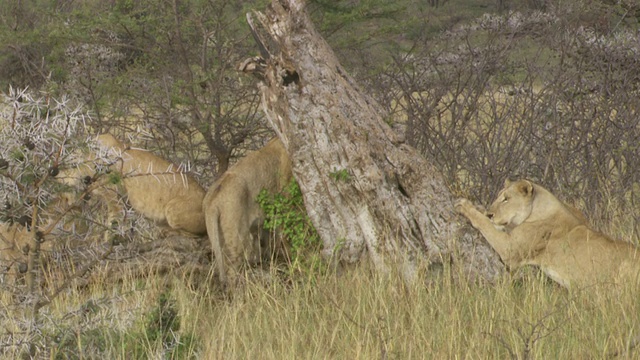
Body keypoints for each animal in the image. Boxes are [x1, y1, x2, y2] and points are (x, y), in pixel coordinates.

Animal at [205, 138, 292, 286]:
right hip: (237, 237)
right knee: (232, 270)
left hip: (218, 235)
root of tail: (214, 200)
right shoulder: (286, 199)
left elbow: (266, 240)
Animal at [456, 179, 640, 288]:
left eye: (506, 199)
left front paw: (465, 206)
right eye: (498, 197)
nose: (490, 213)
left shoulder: (510, 251)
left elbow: (485, 224)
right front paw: (479, 208)